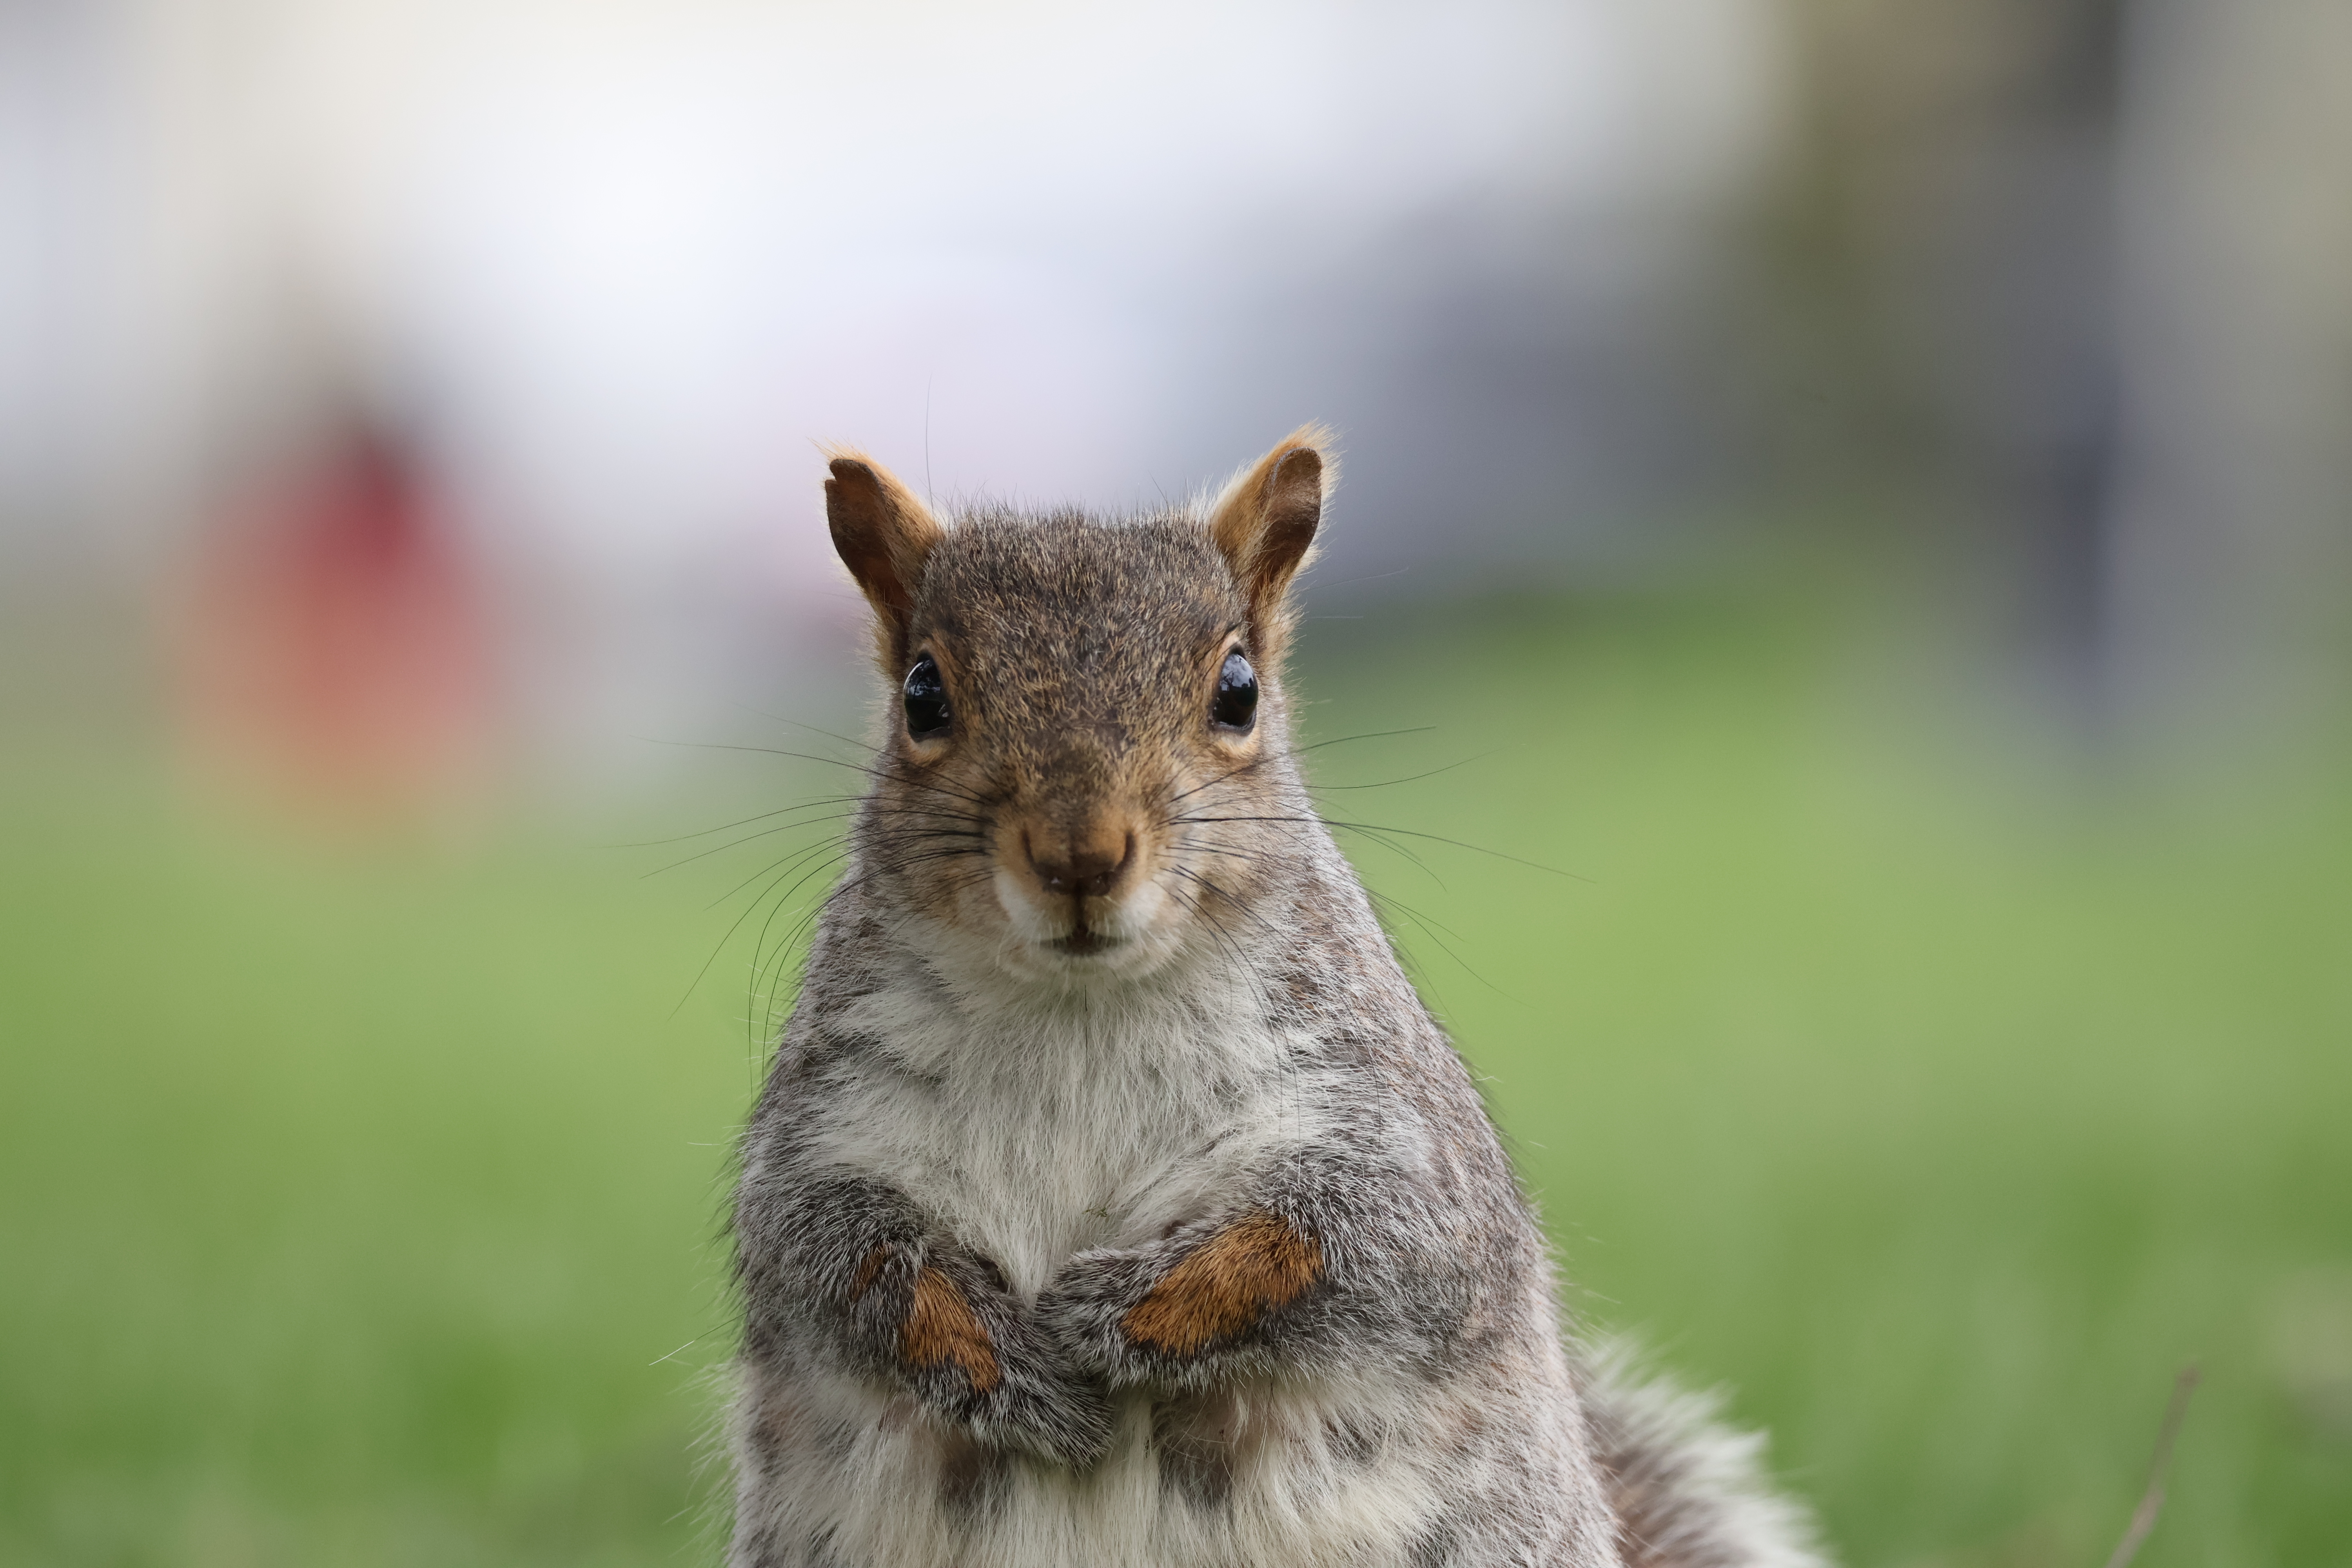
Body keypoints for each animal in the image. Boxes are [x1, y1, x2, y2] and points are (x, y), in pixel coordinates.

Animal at [726, 429, 1825, 1568]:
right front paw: (1012, 1366)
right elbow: (845, 1267)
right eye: (923, 696)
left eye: (1238, 692)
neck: (1084, 1003)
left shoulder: (1388, 1128)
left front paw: (1111, 1318)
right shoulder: (826, 1138)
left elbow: (1330, 1246)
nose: (1081, 856)